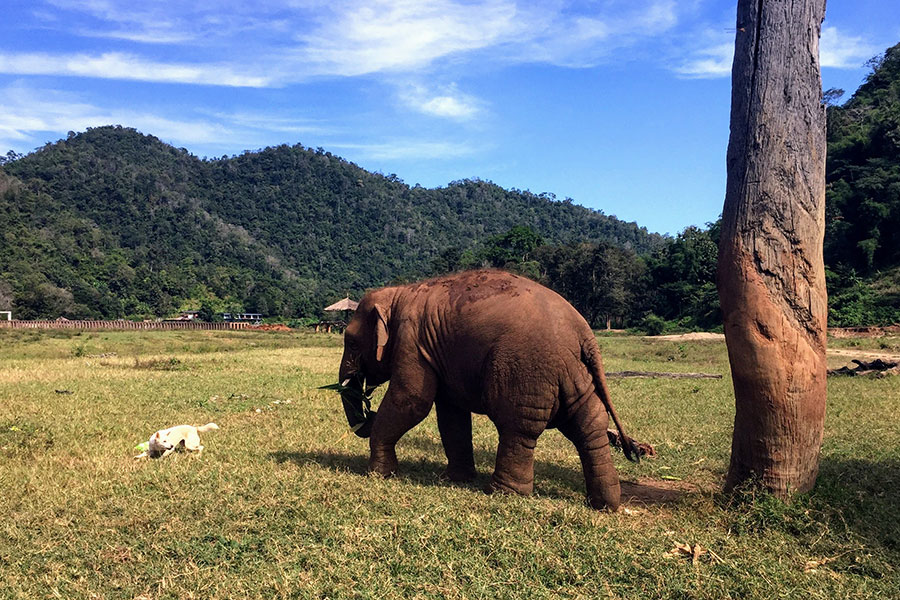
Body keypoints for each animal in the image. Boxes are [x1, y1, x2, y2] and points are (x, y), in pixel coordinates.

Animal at [338, 270, 640, 508]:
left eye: (351, 342)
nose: (367, 413)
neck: (399, 293)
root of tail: (584, 332)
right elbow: (451, 414)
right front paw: (455, 479)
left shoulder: (411, 341)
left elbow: (411, 401)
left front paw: (378, 475)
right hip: (575, 373)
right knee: (589, 426)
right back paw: (605, 504)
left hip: (525, 368)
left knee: (518, 427)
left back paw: (503, 493)